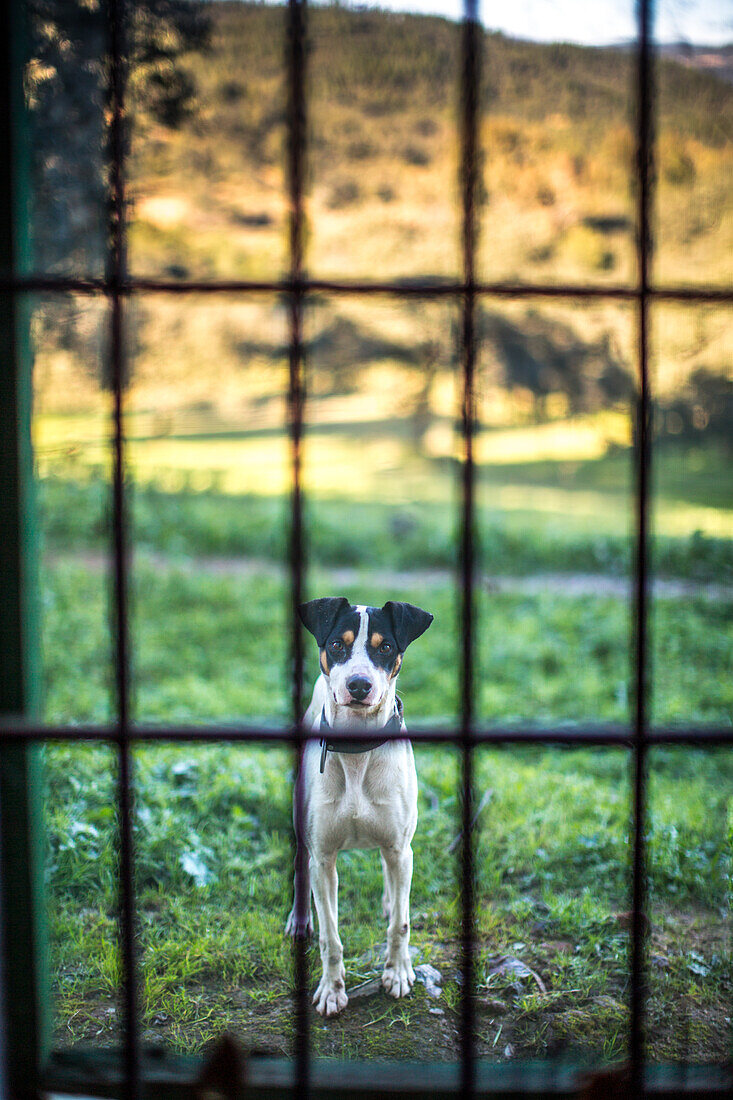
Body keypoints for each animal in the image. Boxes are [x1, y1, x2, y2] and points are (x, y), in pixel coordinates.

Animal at [283, 598, 433, 1016]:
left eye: (385, 648)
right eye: (337, 645)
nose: (359, 685)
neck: (356, 750)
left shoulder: (400, 845)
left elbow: (401, 923)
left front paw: (398, 972)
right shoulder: (324, 857)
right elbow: (331, 936)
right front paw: (332, 989)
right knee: (300, 866)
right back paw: (299, 920)